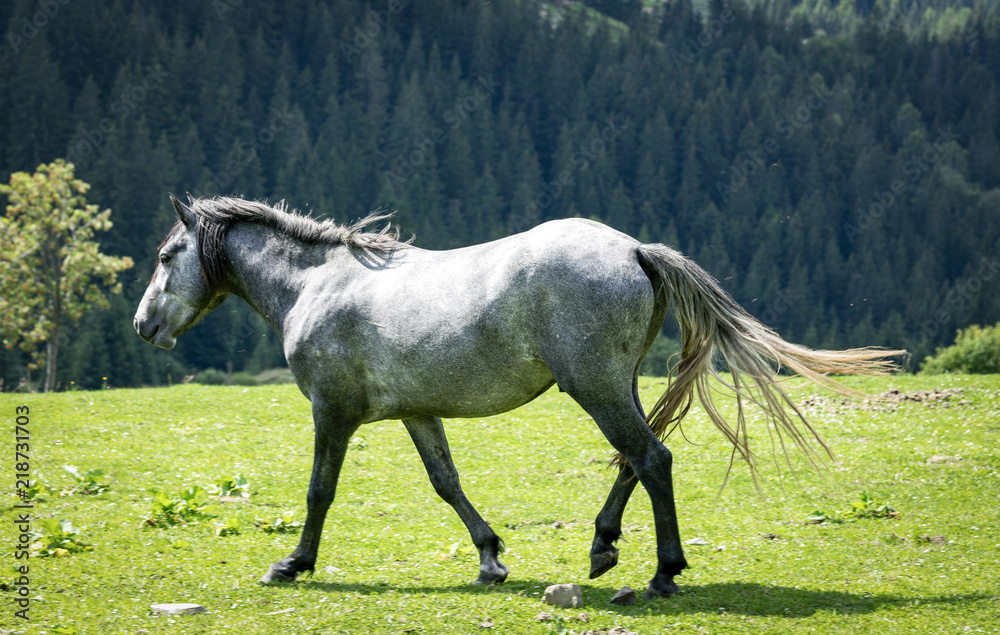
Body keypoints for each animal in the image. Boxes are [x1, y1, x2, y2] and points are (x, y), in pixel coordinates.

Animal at [134, 194, 901, 598]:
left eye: (168, 256)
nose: (144, 326)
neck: (320, 285)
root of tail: (634, 250)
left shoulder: (334, 412)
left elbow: (320, 489)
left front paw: (292, 563)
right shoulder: (418, 412)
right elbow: (446, 483)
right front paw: (490, 557)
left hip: (594, 387)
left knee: (652, 459)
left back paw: (661, 573)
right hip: (613, 384)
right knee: (636, 460)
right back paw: (603, 549)